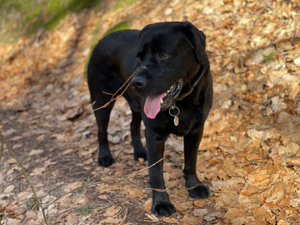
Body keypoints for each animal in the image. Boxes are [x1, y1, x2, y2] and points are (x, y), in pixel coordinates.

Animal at [86, 21, 213, 216]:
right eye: (139, 58)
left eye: (163, 55)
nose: (135, 83)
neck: (181, 102)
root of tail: (101, 40)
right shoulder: (155, 134)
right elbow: (156, 173)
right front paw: (161, 203)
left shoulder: (196, 129)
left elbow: (191, 162)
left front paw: (194, 186)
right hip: (101, 100)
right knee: (102, 131)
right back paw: (105, 157)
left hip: (137, 106)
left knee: (133, 126)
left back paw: (139, 152)